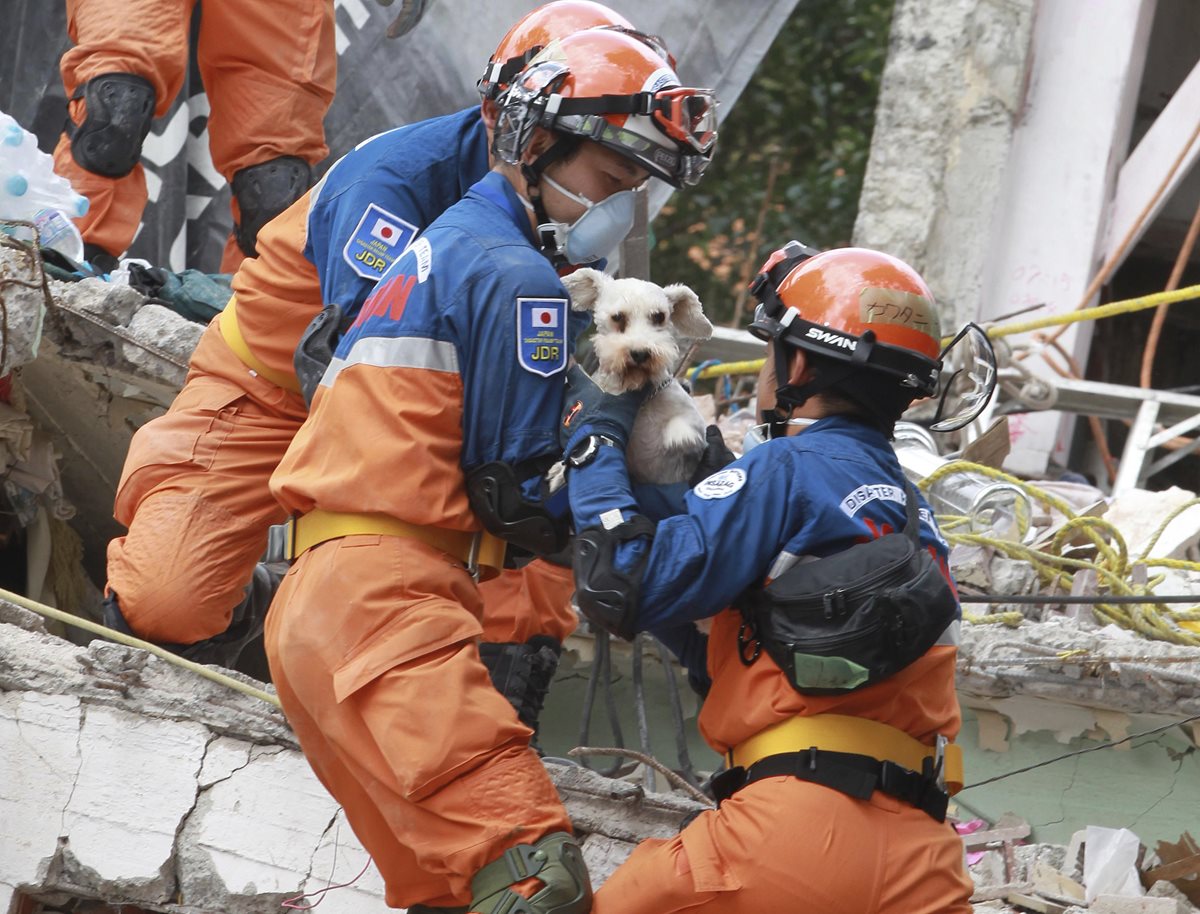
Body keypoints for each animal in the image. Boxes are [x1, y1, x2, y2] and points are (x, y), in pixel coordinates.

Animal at [561, 267, 710, 484]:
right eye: (617, 317)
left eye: (659, 316)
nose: (640, 353)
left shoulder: (693, 421)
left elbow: (685, 425)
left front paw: (679, 436)